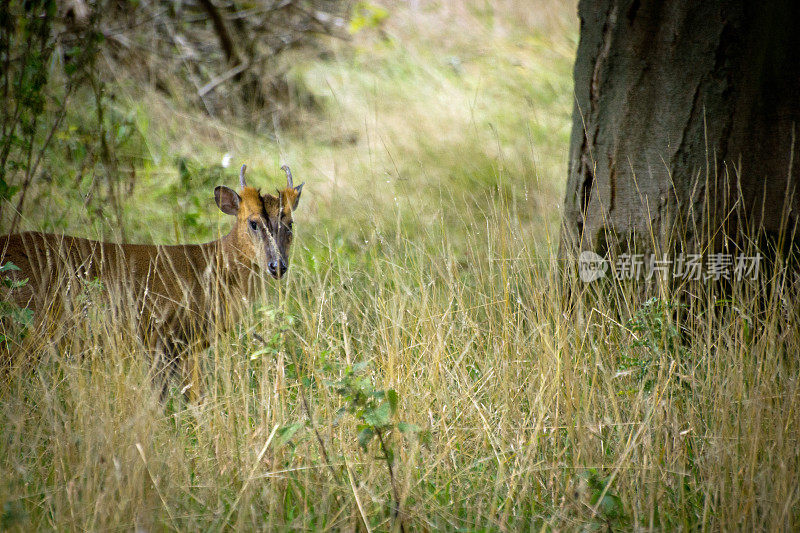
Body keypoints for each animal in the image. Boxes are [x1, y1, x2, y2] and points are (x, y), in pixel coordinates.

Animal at [0, 164, 304, 396]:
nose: (277, 265)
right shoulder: (160, 335)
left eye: (290, 224)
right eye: (253, 223)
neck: (210, 268)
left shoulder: (184, 349)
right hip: (25, 324)